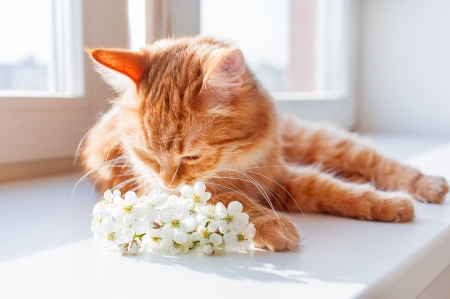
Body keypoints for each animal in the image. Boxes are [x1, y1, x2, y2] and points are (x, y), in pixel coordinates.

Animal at [81, 37, 450, 253]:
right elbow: (232, 200)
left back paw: (427, 185)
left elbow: (332, 188)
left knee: (382, 165)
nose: (168, 181)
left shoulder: (280, 177)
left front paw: (385, 203)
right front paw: (272, 224)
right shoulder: (168, 192)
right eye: (147, 156)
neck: (237, 164)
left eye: (191, 156)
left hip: (325, 145)